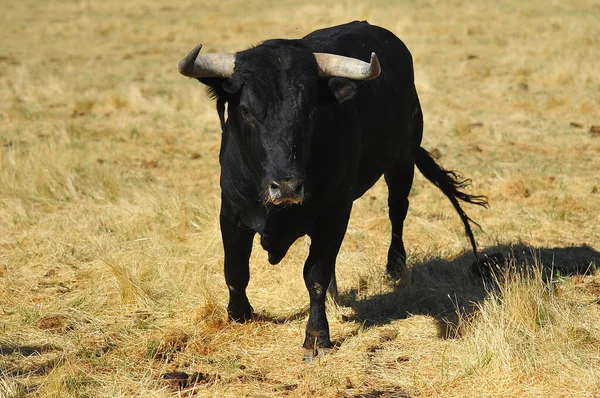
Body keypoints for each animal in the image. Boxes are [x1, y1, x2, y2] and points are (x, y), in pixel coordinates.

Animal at [178, 20, 488, 360]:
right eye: (246, 110)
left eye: (311, 111)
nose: (287, 186)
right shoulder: (231, 211)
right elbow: (235, 269)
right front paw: (239, 314)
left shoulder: (335, 213)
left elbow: (315, 274)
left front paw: (316, 336)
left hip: (402, 160)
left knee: (397, 210)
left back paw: (395, 266)